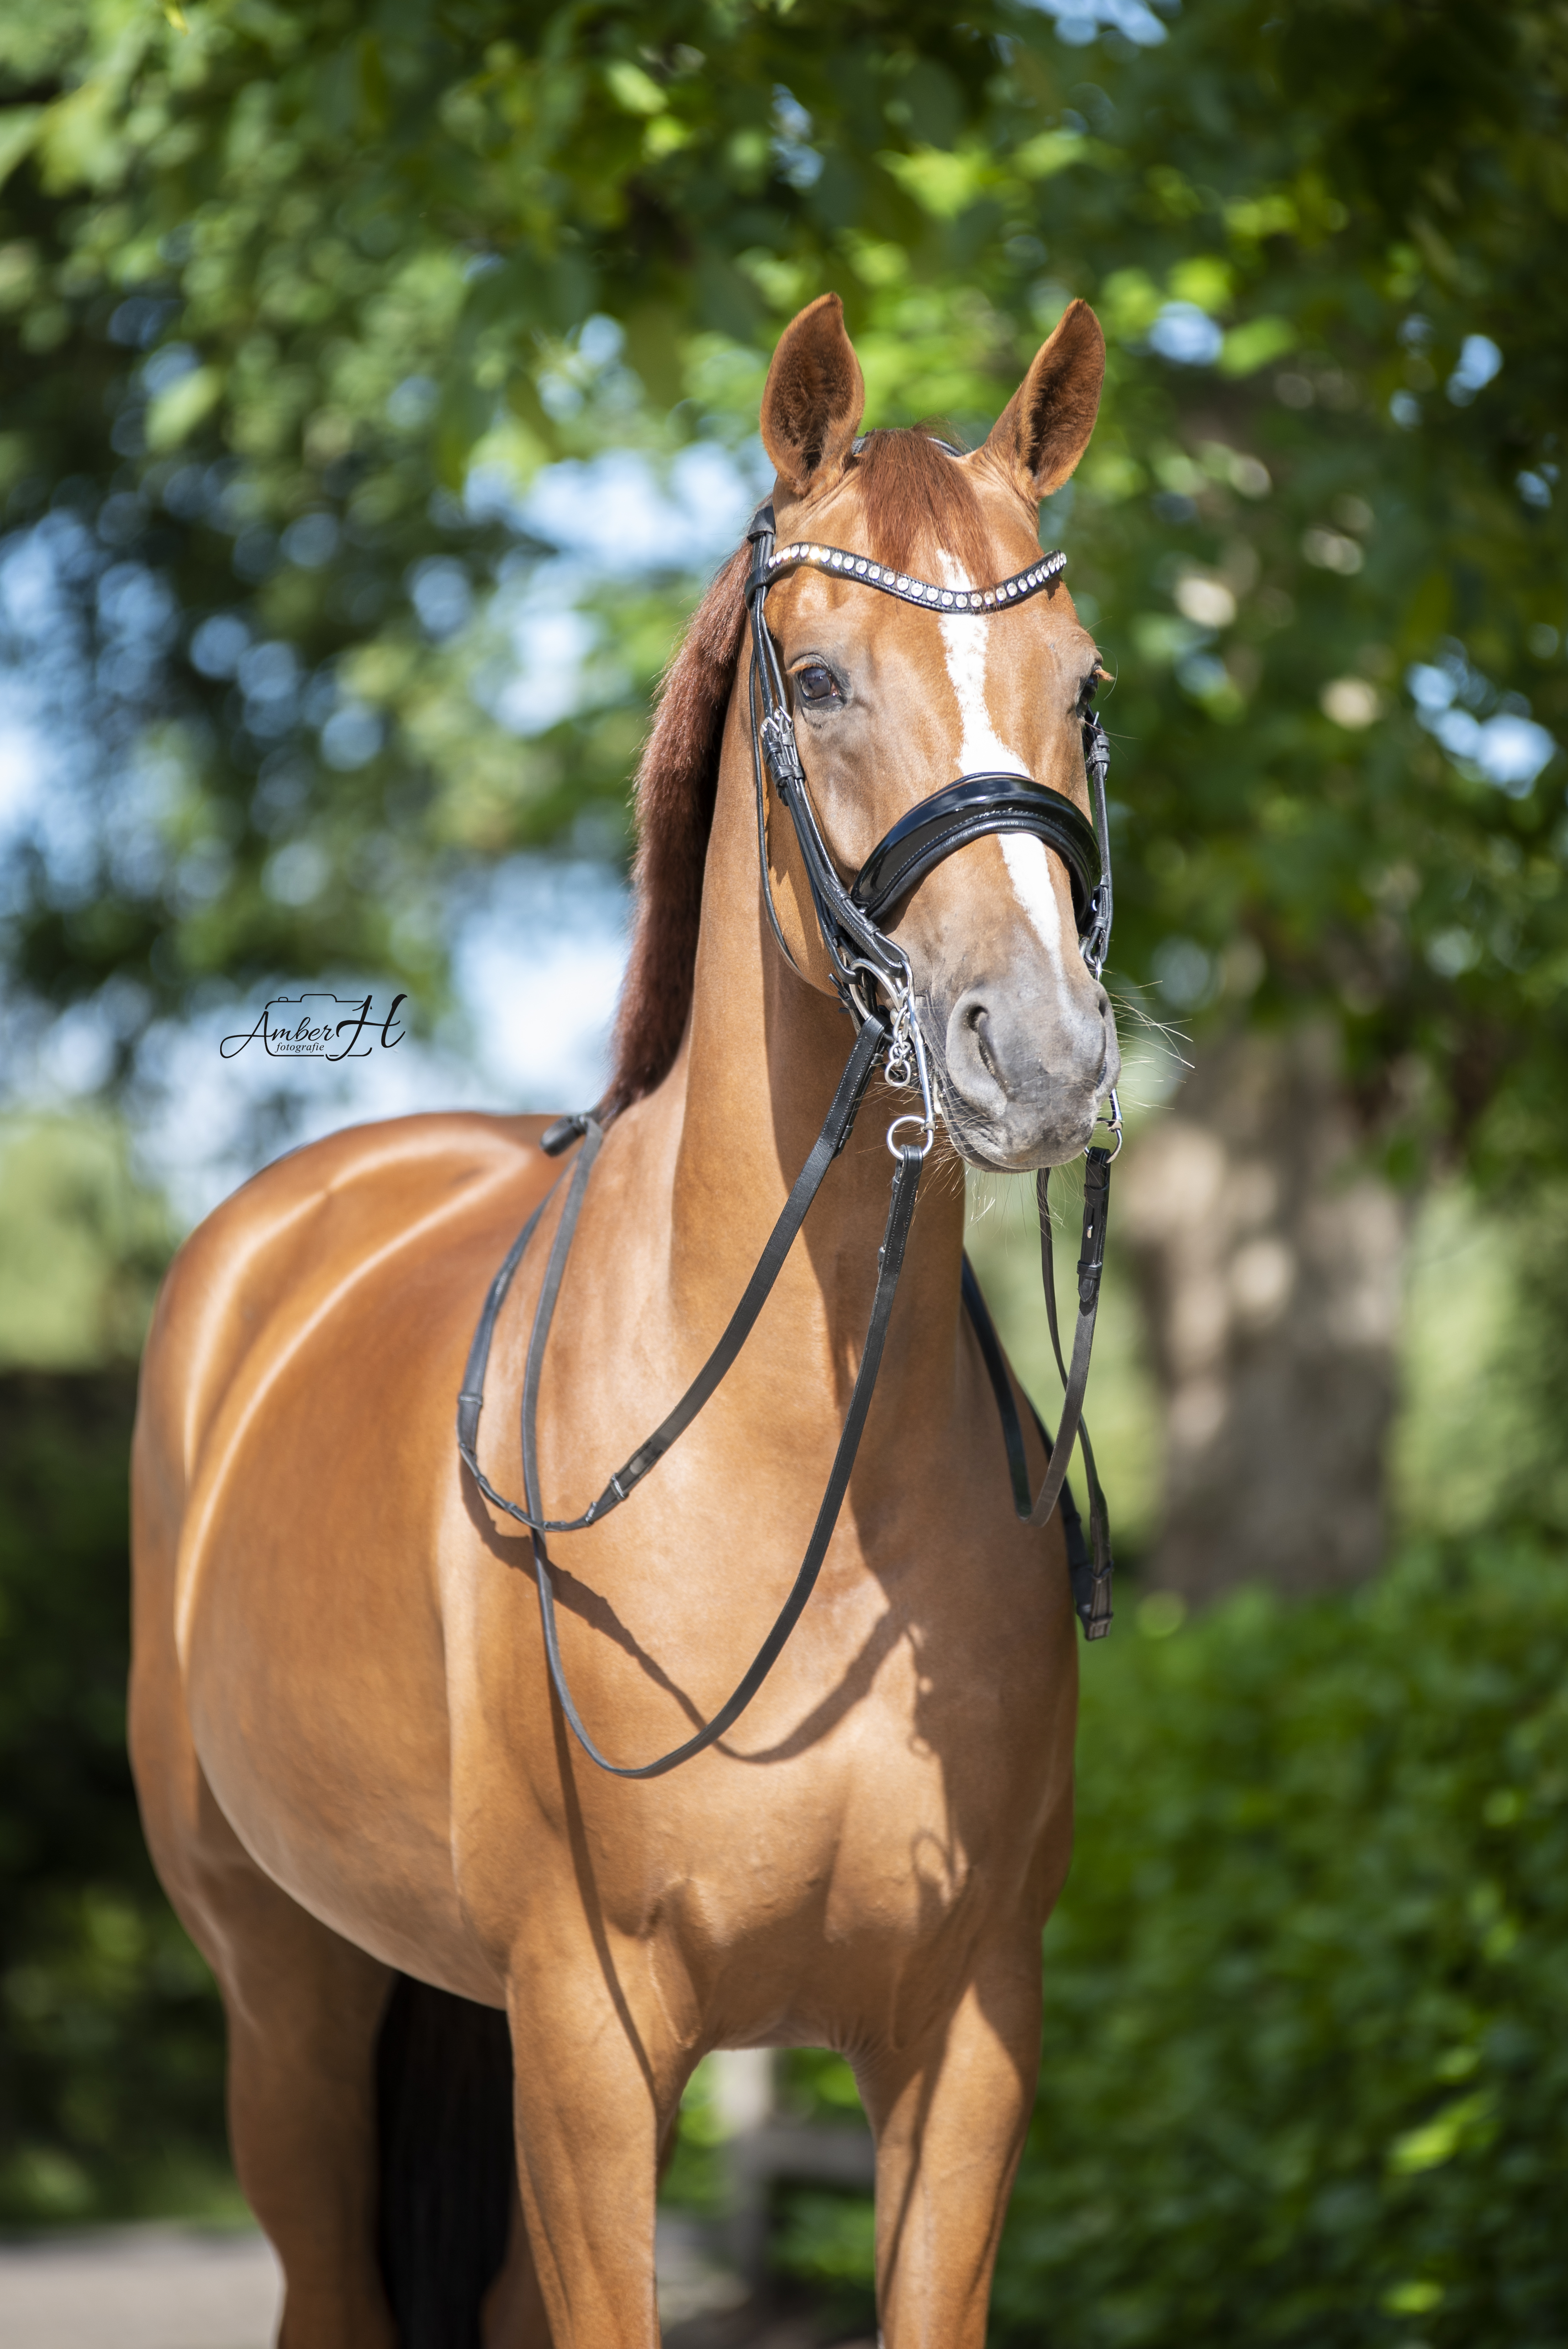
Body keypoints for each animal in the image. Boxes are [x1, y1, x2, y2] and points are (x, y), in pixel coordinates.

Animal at [129, 288, 1119, 2349]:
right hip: (289, 2002)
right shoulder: (590, 2043)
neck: (792, 1477)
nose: (1043, 1057)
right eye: (815, 681)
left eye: (1079, 683)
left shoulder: (968, 2040)